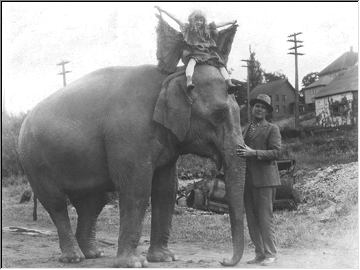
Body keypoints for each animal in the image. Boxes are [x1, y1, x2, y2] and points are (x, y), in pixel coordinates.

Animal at [18, 64, 246, 266]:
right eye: (218, 114)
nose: (225, 261)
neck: (173, 74)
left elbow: (166, 189)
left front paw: (165, 258)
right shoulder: (129, 135)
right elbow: (137, 188)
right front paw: (133, 263)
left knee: (94, 203)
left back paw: (93, 254)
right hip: (35, 162)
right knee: (56, 203)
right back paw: (74, 258)